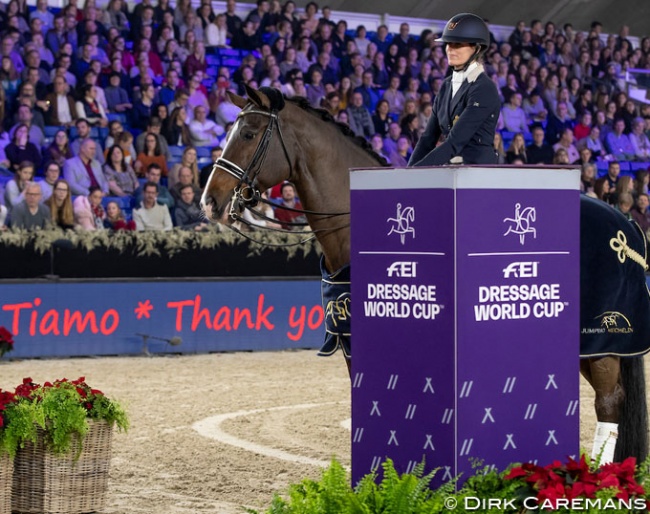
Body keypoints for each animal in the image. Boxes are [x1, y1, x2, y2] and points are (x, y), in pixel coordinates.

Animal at [200, 86, 644, 462]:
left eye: (249, 133)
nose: (210, 202)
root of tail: (623, 220)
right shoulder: (353, 339)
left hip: (603, 341)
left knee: (608, 401)